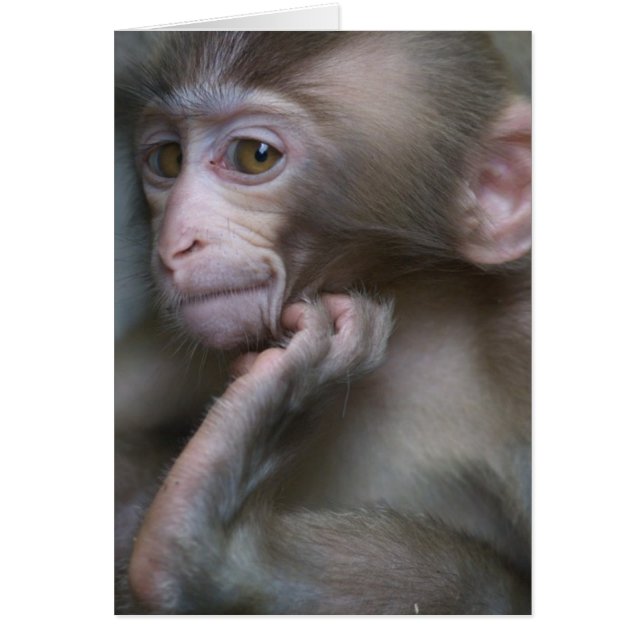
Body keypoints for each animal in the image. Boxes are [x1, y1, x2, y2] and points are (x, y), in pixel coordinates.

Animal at [115, 31, 531, 615]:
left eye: (255, 156)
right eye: (168, 158)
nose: (175, 244)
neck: (418, 312)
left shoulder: (523, 345)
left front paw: (214, 552)